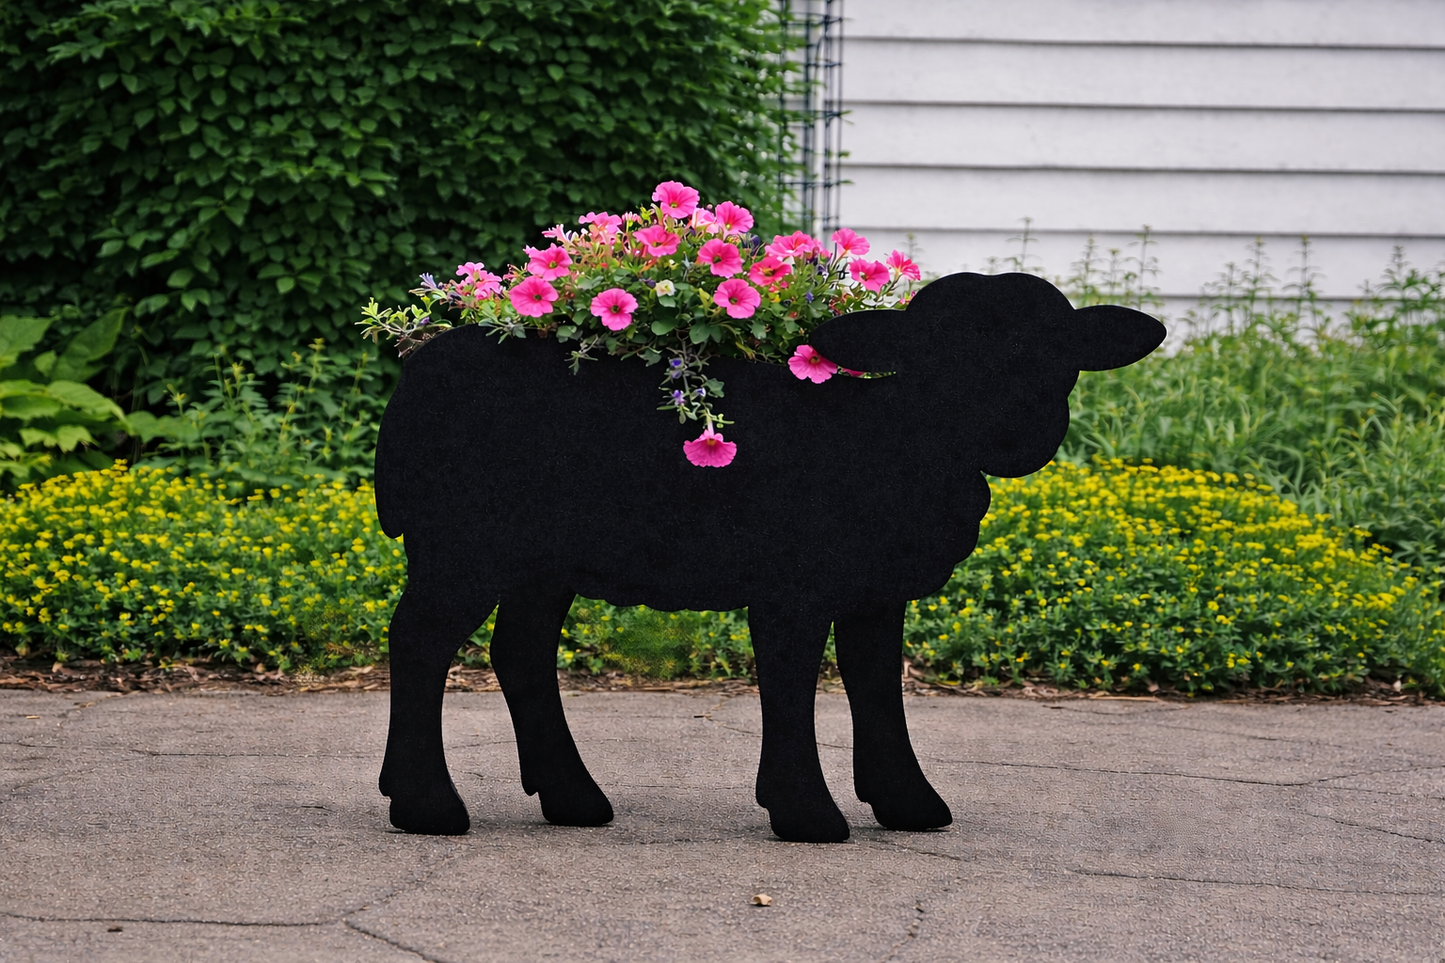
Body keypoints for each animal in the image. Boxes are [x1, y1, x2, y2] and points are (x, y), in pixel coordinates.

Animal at [373, 271, 1165, 843]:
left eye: (1062, 350)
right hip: (460, 539)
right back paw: (424, 805)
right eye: (933, 353)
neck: (900, 439)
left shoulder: (876, 591)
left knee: (520, 651)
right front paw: (806, 813)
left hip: (538, 558)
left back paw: (572, 798)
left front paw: (907, 803)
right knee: (418, 640)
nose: (1021, 429)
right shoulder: (791, 585)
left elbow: (875, 685)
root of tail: (418, 367)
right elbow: (791, 686)